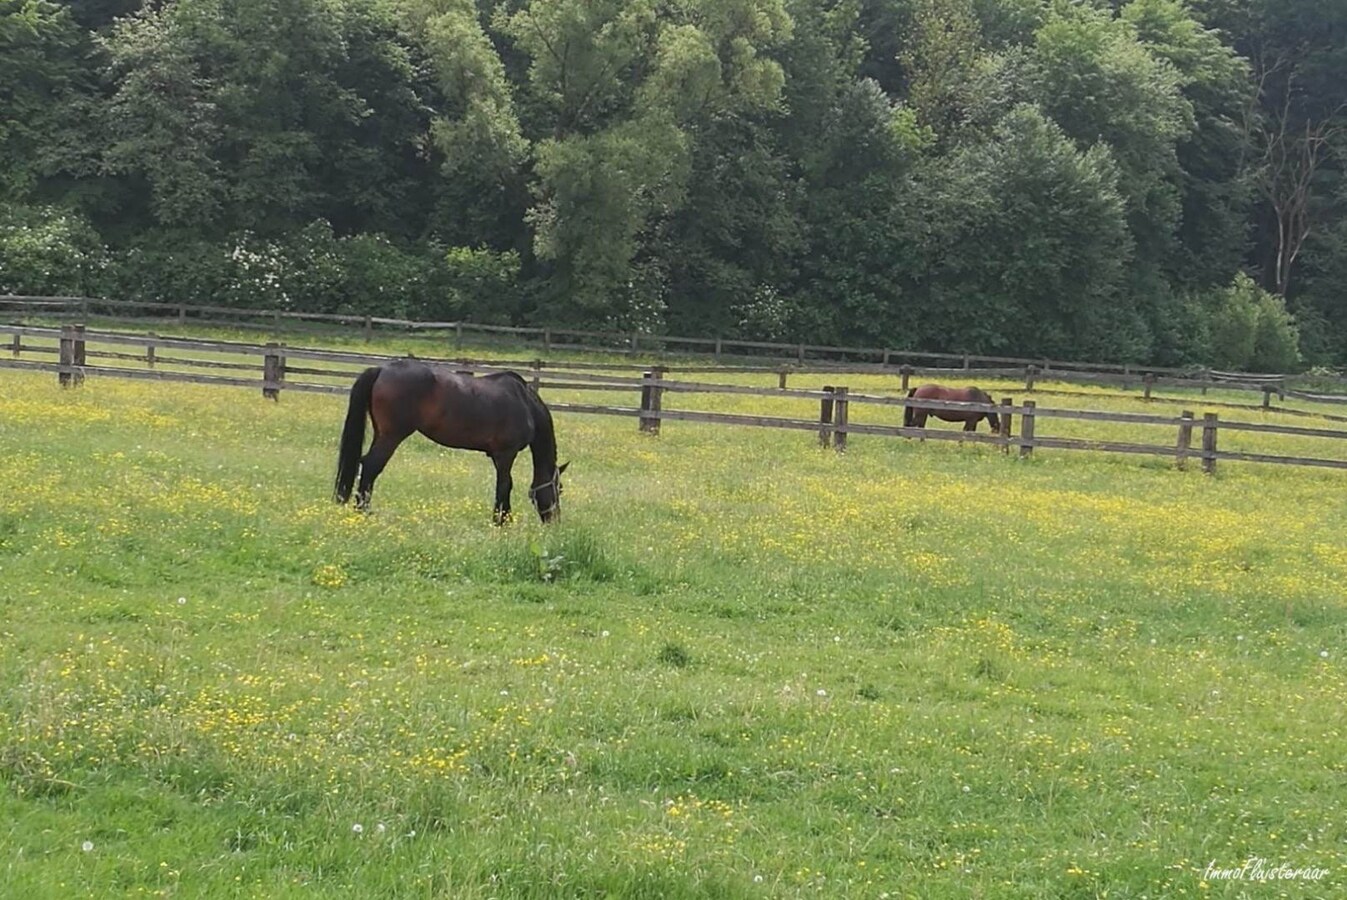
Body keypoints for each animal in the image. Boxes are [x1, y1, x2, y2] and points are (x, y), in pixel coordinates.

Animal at [342, 358, 568, 522]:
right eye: (559, 489)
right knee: (371, 466)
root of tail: (382, 369)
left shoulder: (497, 456)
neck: (525, 403)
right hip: (391, 436)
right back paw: (363, 511)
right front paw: (501, 521)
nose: (554, 521)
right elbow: (505, 485)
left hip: (381, 434)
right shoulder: (506, 454)